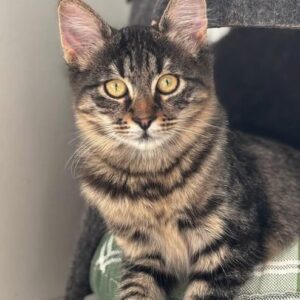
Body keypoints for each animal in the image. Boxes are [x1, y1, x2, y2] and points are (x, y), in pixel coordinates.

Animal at [57, 0, 298, 298]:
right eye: (114, 87)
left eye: (167, 82)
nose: (144, 120)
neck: (151, 180)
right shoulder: (143, 256)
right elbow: (136, 291)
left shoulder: (230, 242)